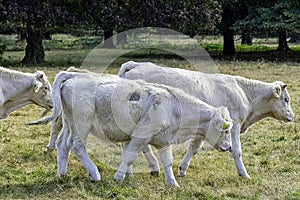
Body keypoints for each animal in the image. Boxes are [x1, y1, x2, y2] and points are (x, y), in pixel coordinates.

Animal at [44, 71, 233, 187]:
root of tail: (73, 74)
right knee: (77, 146)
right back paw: (94, 174)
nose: (230, 147)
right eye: (226, 130)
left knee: (63, 144)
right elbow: (129, 157)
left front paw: (173, 184)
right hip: (82, 123)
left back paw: (62, 174)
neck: (174, 107)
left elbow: (167, 162)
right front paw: (119, 177)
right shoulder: (141, 136)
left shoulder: (164, 141)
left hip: (69, 123)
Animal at [118, 61, 294, 178]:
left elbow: (194, 148)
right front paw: (244, 174)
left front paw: (182, 169)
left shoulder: (205, 127)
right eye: (286, 99)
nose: (292, 116)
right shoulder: (234, 125)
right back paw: (145, 168)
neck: (243, 93)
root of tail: (136, 65)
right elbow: (237, 151)